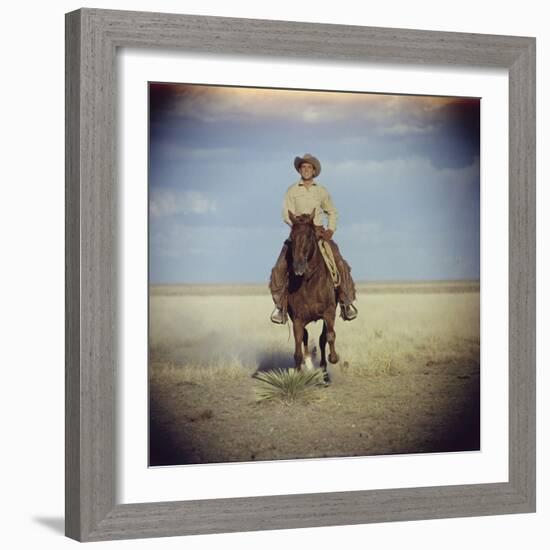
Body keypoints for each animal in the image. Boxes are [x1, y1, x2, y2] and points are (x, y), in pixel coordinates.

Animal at [286, 209, 338, 386]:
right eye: (291, 237)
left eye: (309, 236)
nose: (298, 267)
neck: (310, 281)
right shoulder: (297, 318)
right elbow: (297, 350)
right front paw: (298, 375)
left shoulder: (329, 312)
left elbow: (329, 336)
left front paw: (333, 358)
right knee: (306, 337)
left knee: (323, 339)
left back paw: (325, 372)